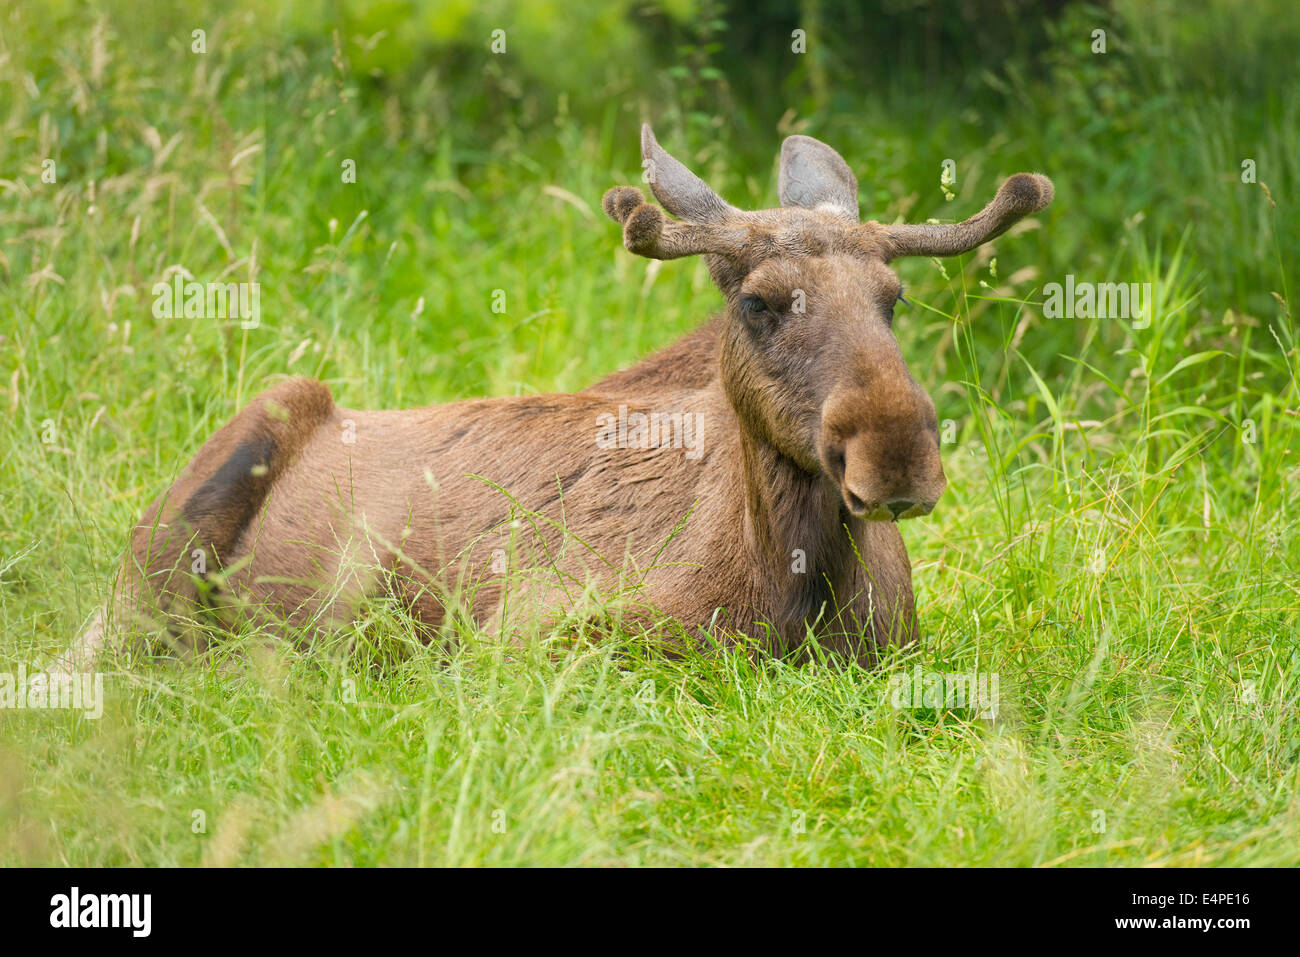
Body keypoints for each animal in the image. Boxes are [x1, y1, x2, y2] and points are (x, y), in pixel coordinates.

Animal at [65, 123, 1050, 670]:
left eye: (894, 299)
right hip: (181, 525)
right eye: (759, 302)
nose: (896, 453)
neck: (790, 581)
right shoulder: (520, 630)